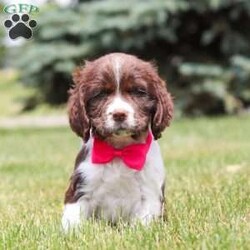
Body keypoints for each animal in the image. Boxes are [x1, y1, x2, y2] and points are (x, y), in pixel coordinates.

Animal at [61, 52, 173, 230]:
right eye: (100, 94)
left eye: (138, 91)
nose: (119, 114)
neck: (119, 150)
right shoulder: (81, 185)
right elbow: (72, 219)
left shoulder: (150, 193)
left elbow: (142, 225)